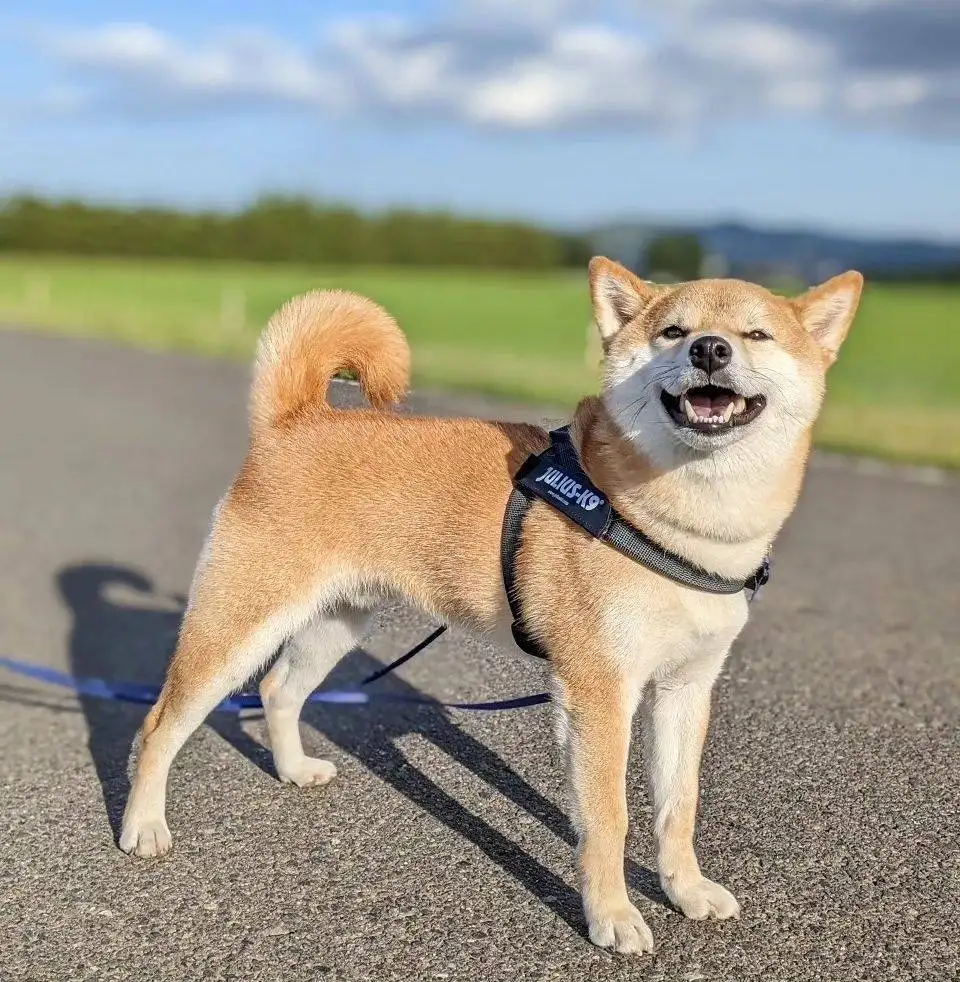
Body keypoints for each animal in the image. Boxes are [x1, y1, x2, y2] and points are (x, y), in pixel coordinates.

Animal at [118, 258, 864, 956]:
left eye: (757, 334)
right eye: (673, 332)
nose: (710, 349)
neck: (675, 524)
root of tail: (296, 420)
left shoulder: (684, 688)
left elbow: (677, 809)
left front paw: (686, 890)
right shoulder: (599, 690)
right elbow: (610, 817)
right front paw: (613, 915)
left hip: (338, 622)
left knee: (278, 690)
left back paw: (293, 769)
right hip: (236, 627)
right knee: (158, 725)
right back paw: (143, 825)